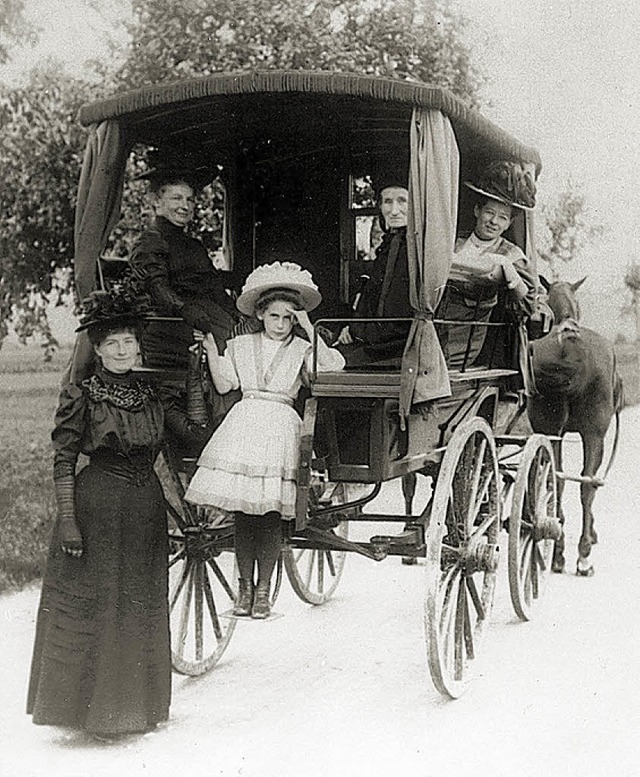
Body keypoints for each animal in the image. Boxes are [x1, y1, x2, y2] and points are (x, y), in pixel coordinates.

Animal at [528, 278, 624, 576]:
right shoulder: (593, 433)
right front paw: (591, 536)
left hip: (551, 431)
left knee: (558, 480)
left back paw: (558, 554)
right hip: (595, 434)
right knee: (587, 484)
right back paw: (583, 555)